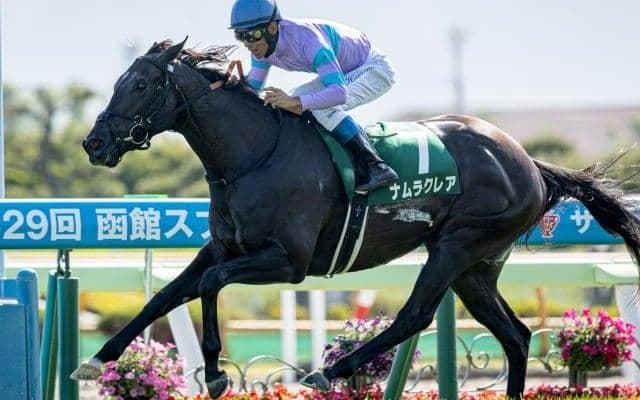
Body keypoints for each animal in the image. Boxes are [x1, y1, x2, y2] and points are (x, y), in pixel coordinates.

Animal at [74, 38, 640, 399]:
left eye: (141, 84)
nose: (94, 143)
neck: (253, 154)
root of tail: (531, 164)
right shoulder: (225, 246)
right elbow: (168, 294)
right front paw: (97, 359)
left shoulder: (288, 261)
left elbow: (210, 285)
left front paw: (214, 374)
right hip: (477, 268)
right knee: (516, 336)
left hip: (457, 245)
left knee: (415, 315)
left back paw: (330, 371)